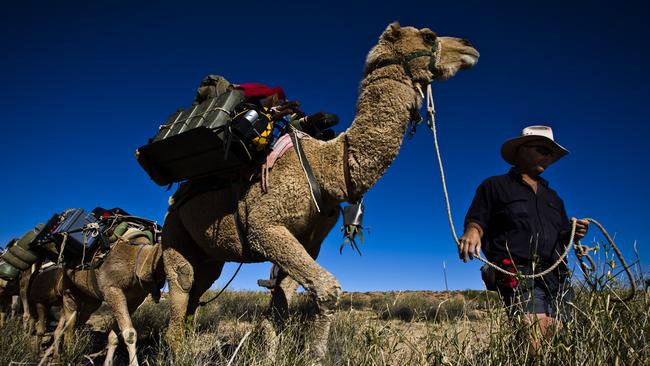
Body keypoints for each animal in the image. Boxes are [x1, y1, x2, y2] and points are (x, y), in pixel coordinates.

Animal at [36, 227, 165, 364]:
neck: (140, 258)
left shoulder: (135, 299)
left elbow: (114, 335)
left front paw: (107, 362)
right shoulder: (112, 289)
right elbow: (129, 334)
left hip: (91, 300)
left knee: (80, 320)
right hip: (68, 289)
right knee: (70, 324)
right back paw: (66, 356)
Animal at [160, 22, 478, 360]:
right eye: (428, 36)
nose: (468, 46)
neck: (328, 168)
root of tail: (174, 198)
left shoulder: (308, 243)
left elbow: (279, 306)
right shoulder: (263, 226)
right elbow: (327, 291)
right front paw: (314, 355)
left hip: (210, 255)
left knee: (198, 292)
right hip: (175, 231)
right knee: (182, 286)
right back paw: (176, 352)